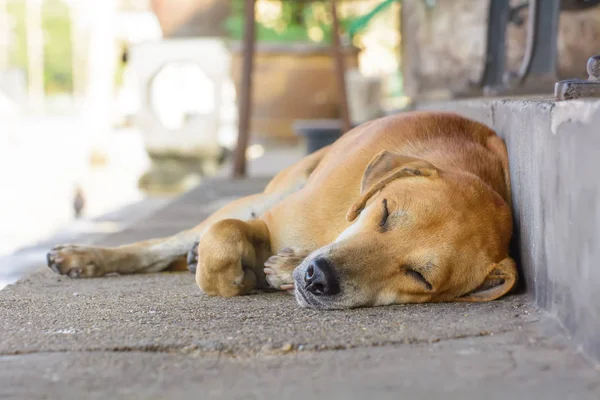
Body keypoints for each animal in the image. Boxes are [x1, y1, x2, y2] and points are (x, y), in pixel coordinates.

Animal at [45, 111, 516, 310]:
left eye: (420, 277)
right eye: (384, 212)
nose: (317, 278)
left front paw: (277, 269)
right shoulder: (272, 221)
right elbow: (223, 237)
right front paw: (236, 275)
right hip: (268, 194)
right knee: (164, 244)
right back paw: (83, 256)